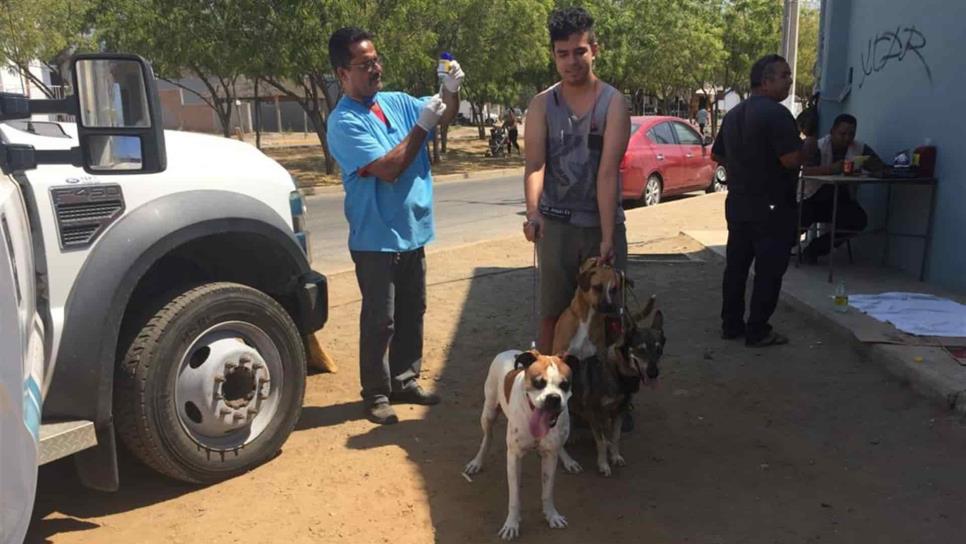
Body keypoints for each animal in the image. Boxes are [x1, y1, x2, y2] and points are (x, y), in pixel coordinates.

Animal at [466, 348, 576, 540]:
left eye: (565, 384)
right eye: (538, 382)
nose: (553, 398)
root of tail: (510, 351)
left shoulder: (550, 456)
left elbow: (548, 491)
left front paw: (551, 515)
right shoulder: (514, 457)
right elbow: (515, 497)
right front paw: (511, 524)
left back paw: (568, 460)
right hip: (488, 413)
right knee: (487, 438)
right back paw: (477, 462)